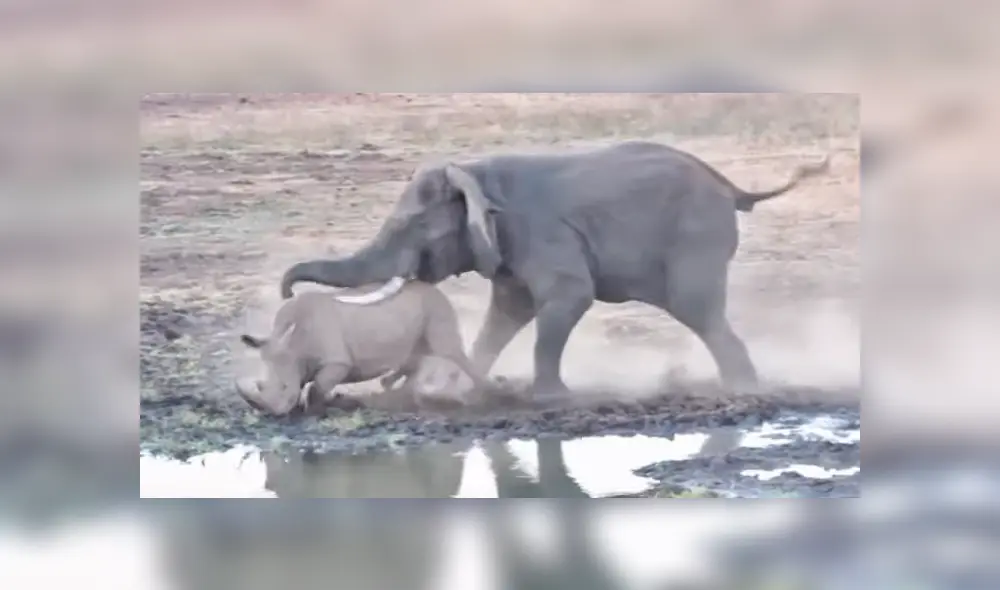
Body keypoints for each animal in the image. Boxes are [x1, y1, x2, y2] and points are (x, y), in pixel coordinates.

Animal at [236, 281, 488, 416]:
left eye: (284, 387)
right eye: (260, 385)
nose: (274, 415)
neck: (293, 344)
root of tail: (433, 287)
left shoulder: (337, 361)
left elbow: (318, 386)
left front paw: (315, 410)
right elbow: (312, 384)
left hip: (437, 306)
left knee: (447, 350)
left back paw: (482, 395)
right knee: (416, 354)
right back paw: (395, 392)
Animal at [280, 140, 831, 399]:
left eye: (412, 227)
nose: (284, 292)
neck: (475, 172)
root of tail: (732, 187)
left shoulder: (540, 233)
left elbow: (568, 297)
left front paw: (547, 397)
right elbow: (506, 313)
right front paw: (460, 389)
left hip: (697, 237)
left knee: (698, 310)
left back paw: (744, 390)